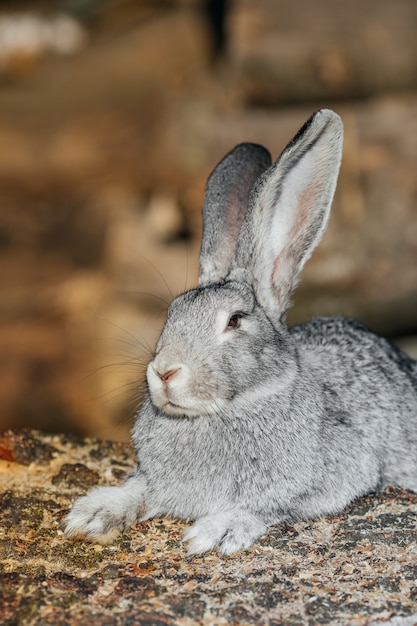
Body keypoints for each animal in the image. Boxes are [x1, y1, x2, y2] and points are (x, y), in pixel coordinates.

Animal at [65, 109, 416, 552]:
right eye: (172, 312)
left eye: (234, 320)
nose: (164, 373)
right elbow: (139, 488)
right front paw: (94, 512)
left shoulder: (340, 474)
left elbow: (268, 506)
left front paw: (215, 531)